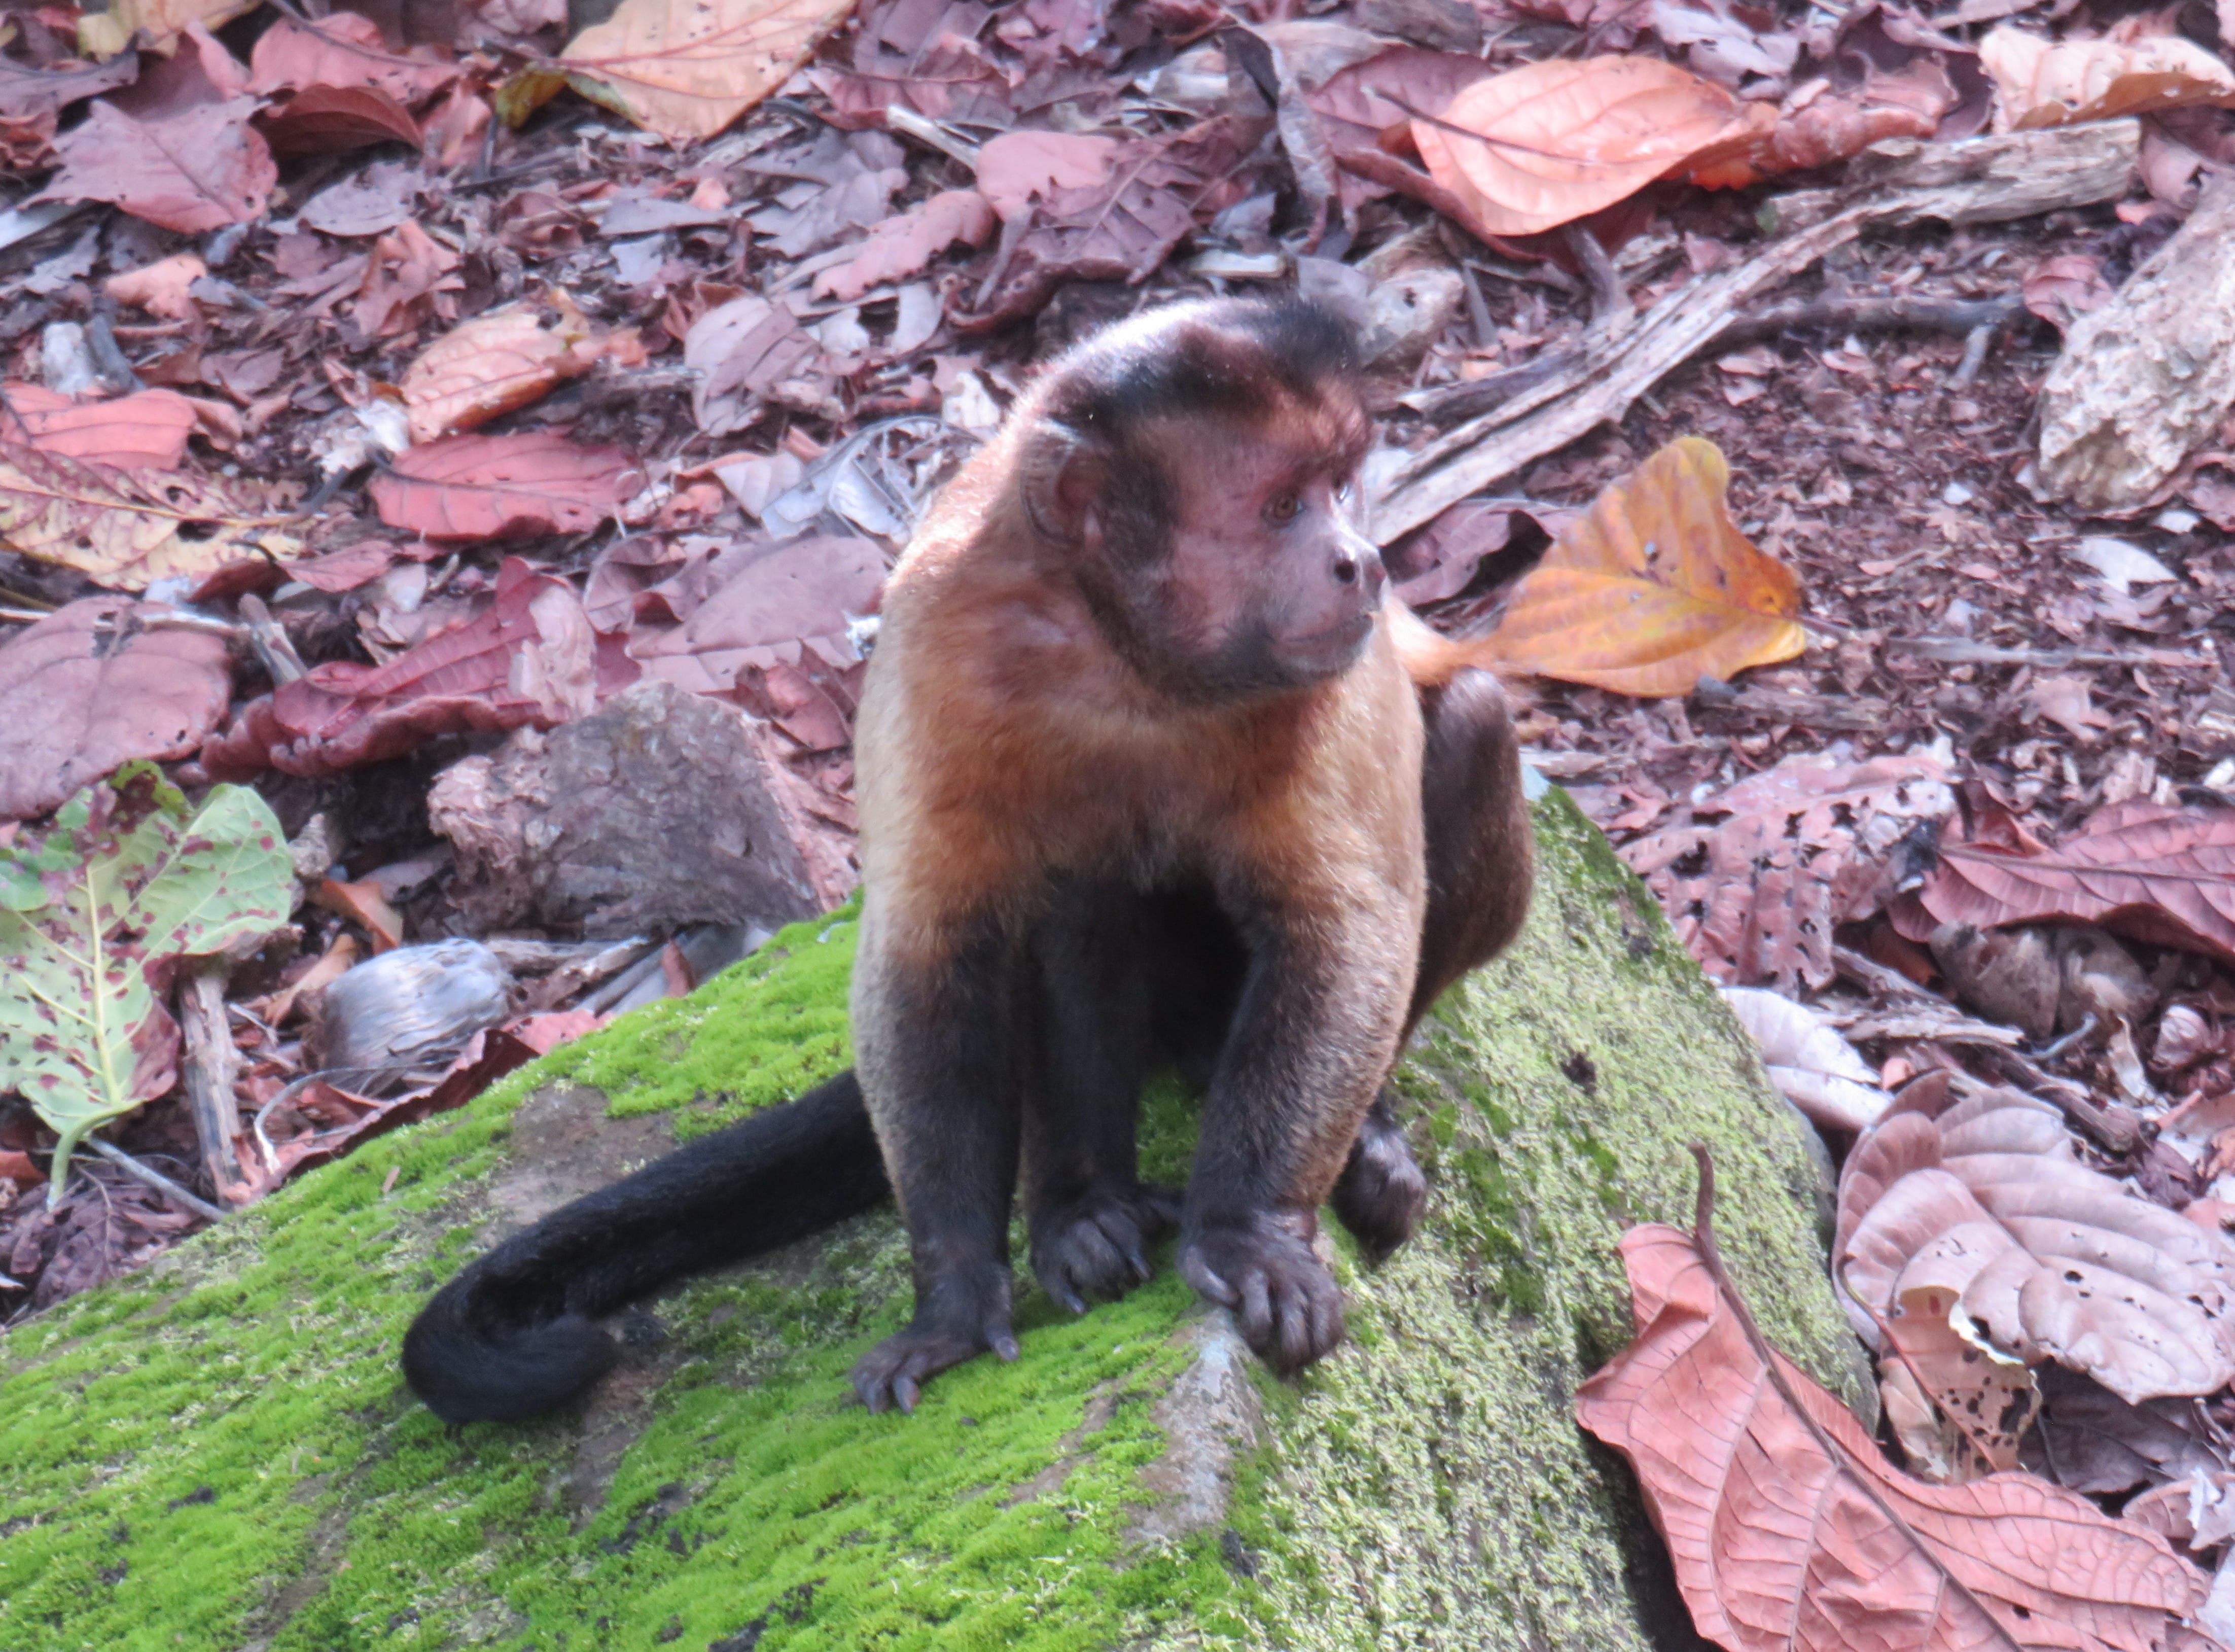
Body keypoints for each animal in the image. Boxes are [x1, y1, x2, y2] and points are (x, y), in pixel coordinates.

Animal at [401, 297, 1533, 1424]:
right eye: (1283, 506)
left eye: (1342, 488)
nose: (1362, 559)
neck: (1130, 661)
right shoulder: (935, 632)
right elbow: (932, 953)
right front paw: (950, 1296)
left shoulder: (1326, 666)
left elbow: (1345, 922)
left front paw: (1250, 1230)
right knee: (1078, 889)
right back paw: (1084, 1207)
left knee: (1472, 724)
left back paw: (1355, 1127)